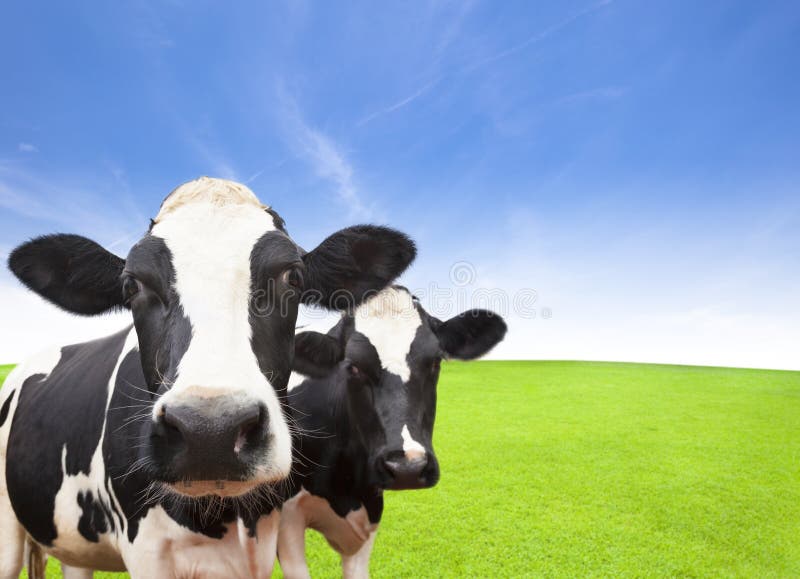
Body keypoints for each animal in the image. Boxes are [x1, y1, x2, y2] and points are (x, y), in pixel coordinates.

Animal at [0, 177, 412, 579]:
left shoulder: (264, 543)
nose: (210, 432)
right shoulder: (146, 552)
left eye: (292, 276)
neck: (225, 516)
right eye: (132, 285)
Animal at [278, 286, 510, 579]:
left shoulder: (369, 510)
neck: (346, 484)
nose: (407, 467)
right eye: (353, 366)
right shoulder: (286, 518)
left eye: (435, 362)